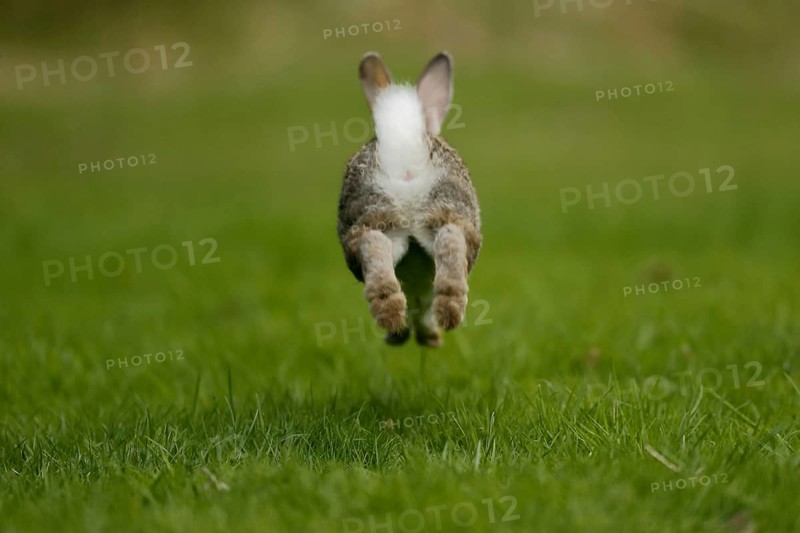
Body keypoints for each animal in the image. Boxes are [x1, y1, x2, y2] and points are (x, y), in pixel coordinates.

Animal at [337, 51, 481, 347]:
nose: (431, 341)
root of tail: (403, 148)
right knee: (450, 238)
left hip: (382, 216)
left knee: (376, 244)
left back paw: (398, 318)